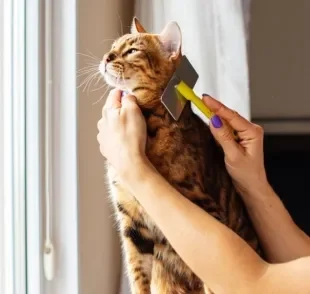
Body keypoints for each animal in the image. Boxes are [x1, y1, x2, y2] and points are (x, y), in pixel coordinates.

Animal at [100, 17, 262, 294]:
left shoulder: (205, 211)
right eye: (113, 47)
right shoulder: (132, 221)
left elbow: (211, 280)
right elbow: (138, 275)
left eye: (132, 50)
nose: (106, 57)